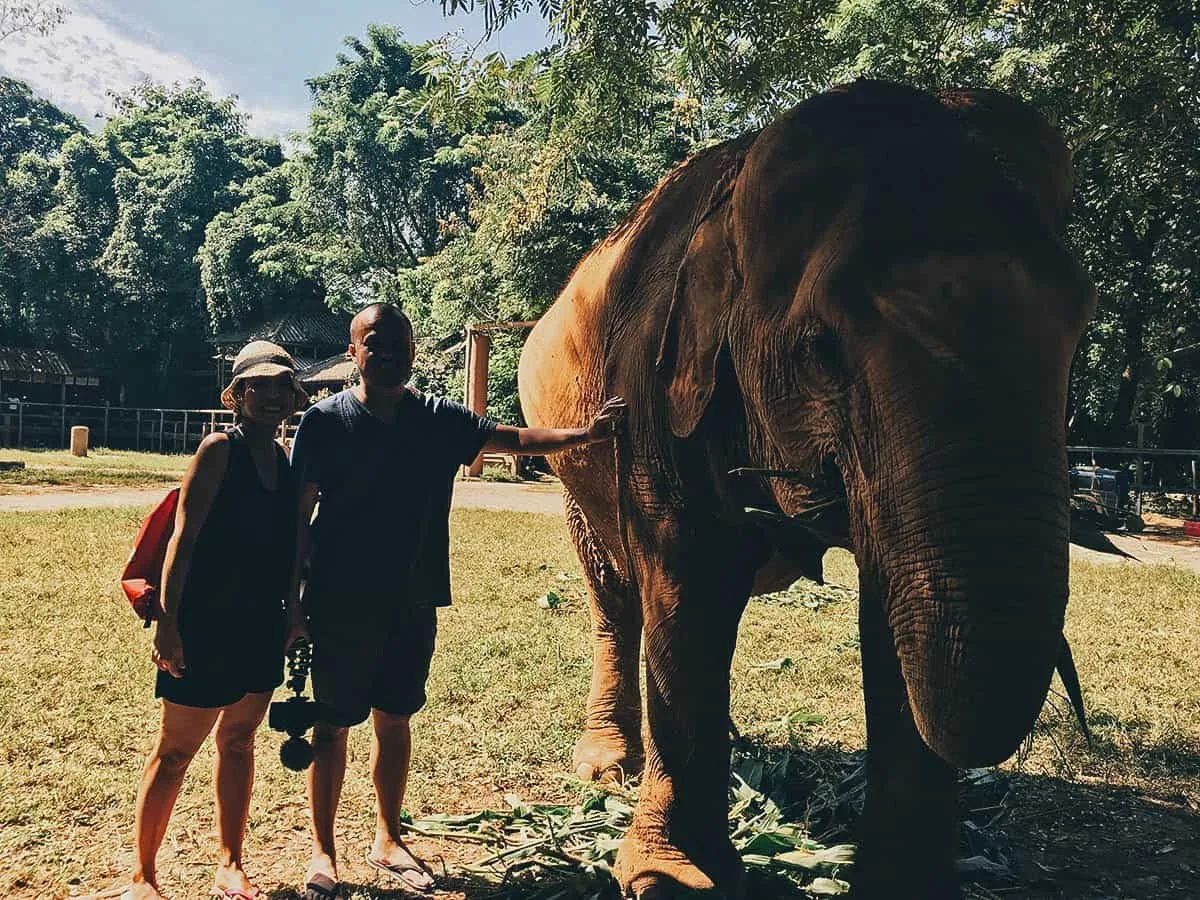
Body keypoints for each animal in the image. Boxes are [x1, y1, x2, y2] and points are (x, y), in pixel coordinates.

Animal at [516, 81, 1099, 897]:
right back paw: (609, 768)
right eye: (821, 349)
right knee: (615, 594)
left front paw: (902, 883)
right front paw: (671, 878)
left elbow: (895, 617)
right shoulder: (650, 396)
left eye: (1082, 329)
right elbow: (687, 586)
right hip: (571, 466)